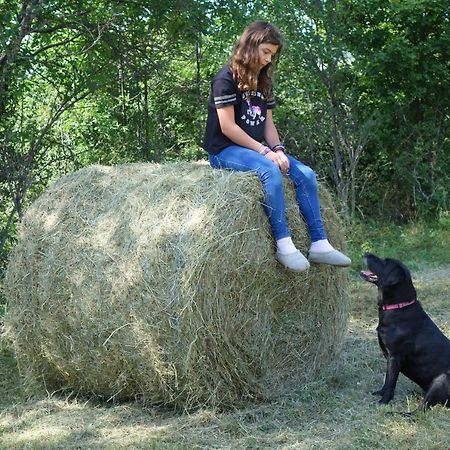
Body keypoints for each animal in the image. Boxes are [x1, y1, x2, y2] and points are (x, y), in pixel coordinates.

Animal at [360, 251, 450, 410]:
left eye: (385, 261)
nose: (366, 253)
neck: (398, 307)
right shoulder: (389, 357)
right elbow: (387, 379)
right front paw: (380, 393)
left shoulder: (395, 356)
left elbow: (391, 382)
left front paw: (384, 402)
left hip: (442, 379)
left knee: (421, 409)